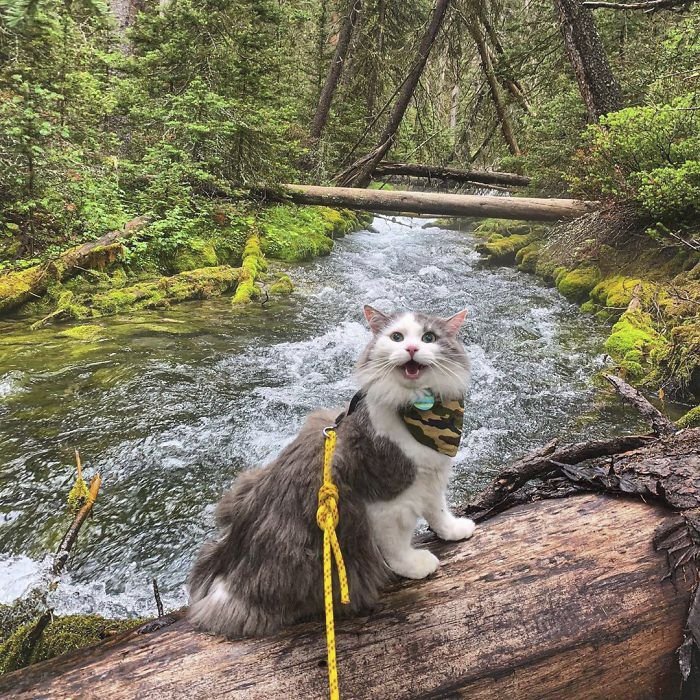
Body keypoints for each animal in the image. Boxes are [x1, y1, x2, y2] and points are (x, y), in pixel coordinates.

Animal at [187, 304, 476, 636]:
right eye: (397, 337)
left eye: (429, 337)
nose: (412, 348)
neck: (419, 414)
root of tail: (226, 574)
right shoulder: (385, 499)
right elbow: (396, 546)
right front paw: (416, 565)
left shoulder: (430, 477)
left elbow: (438, 512)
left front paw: (454, 531)